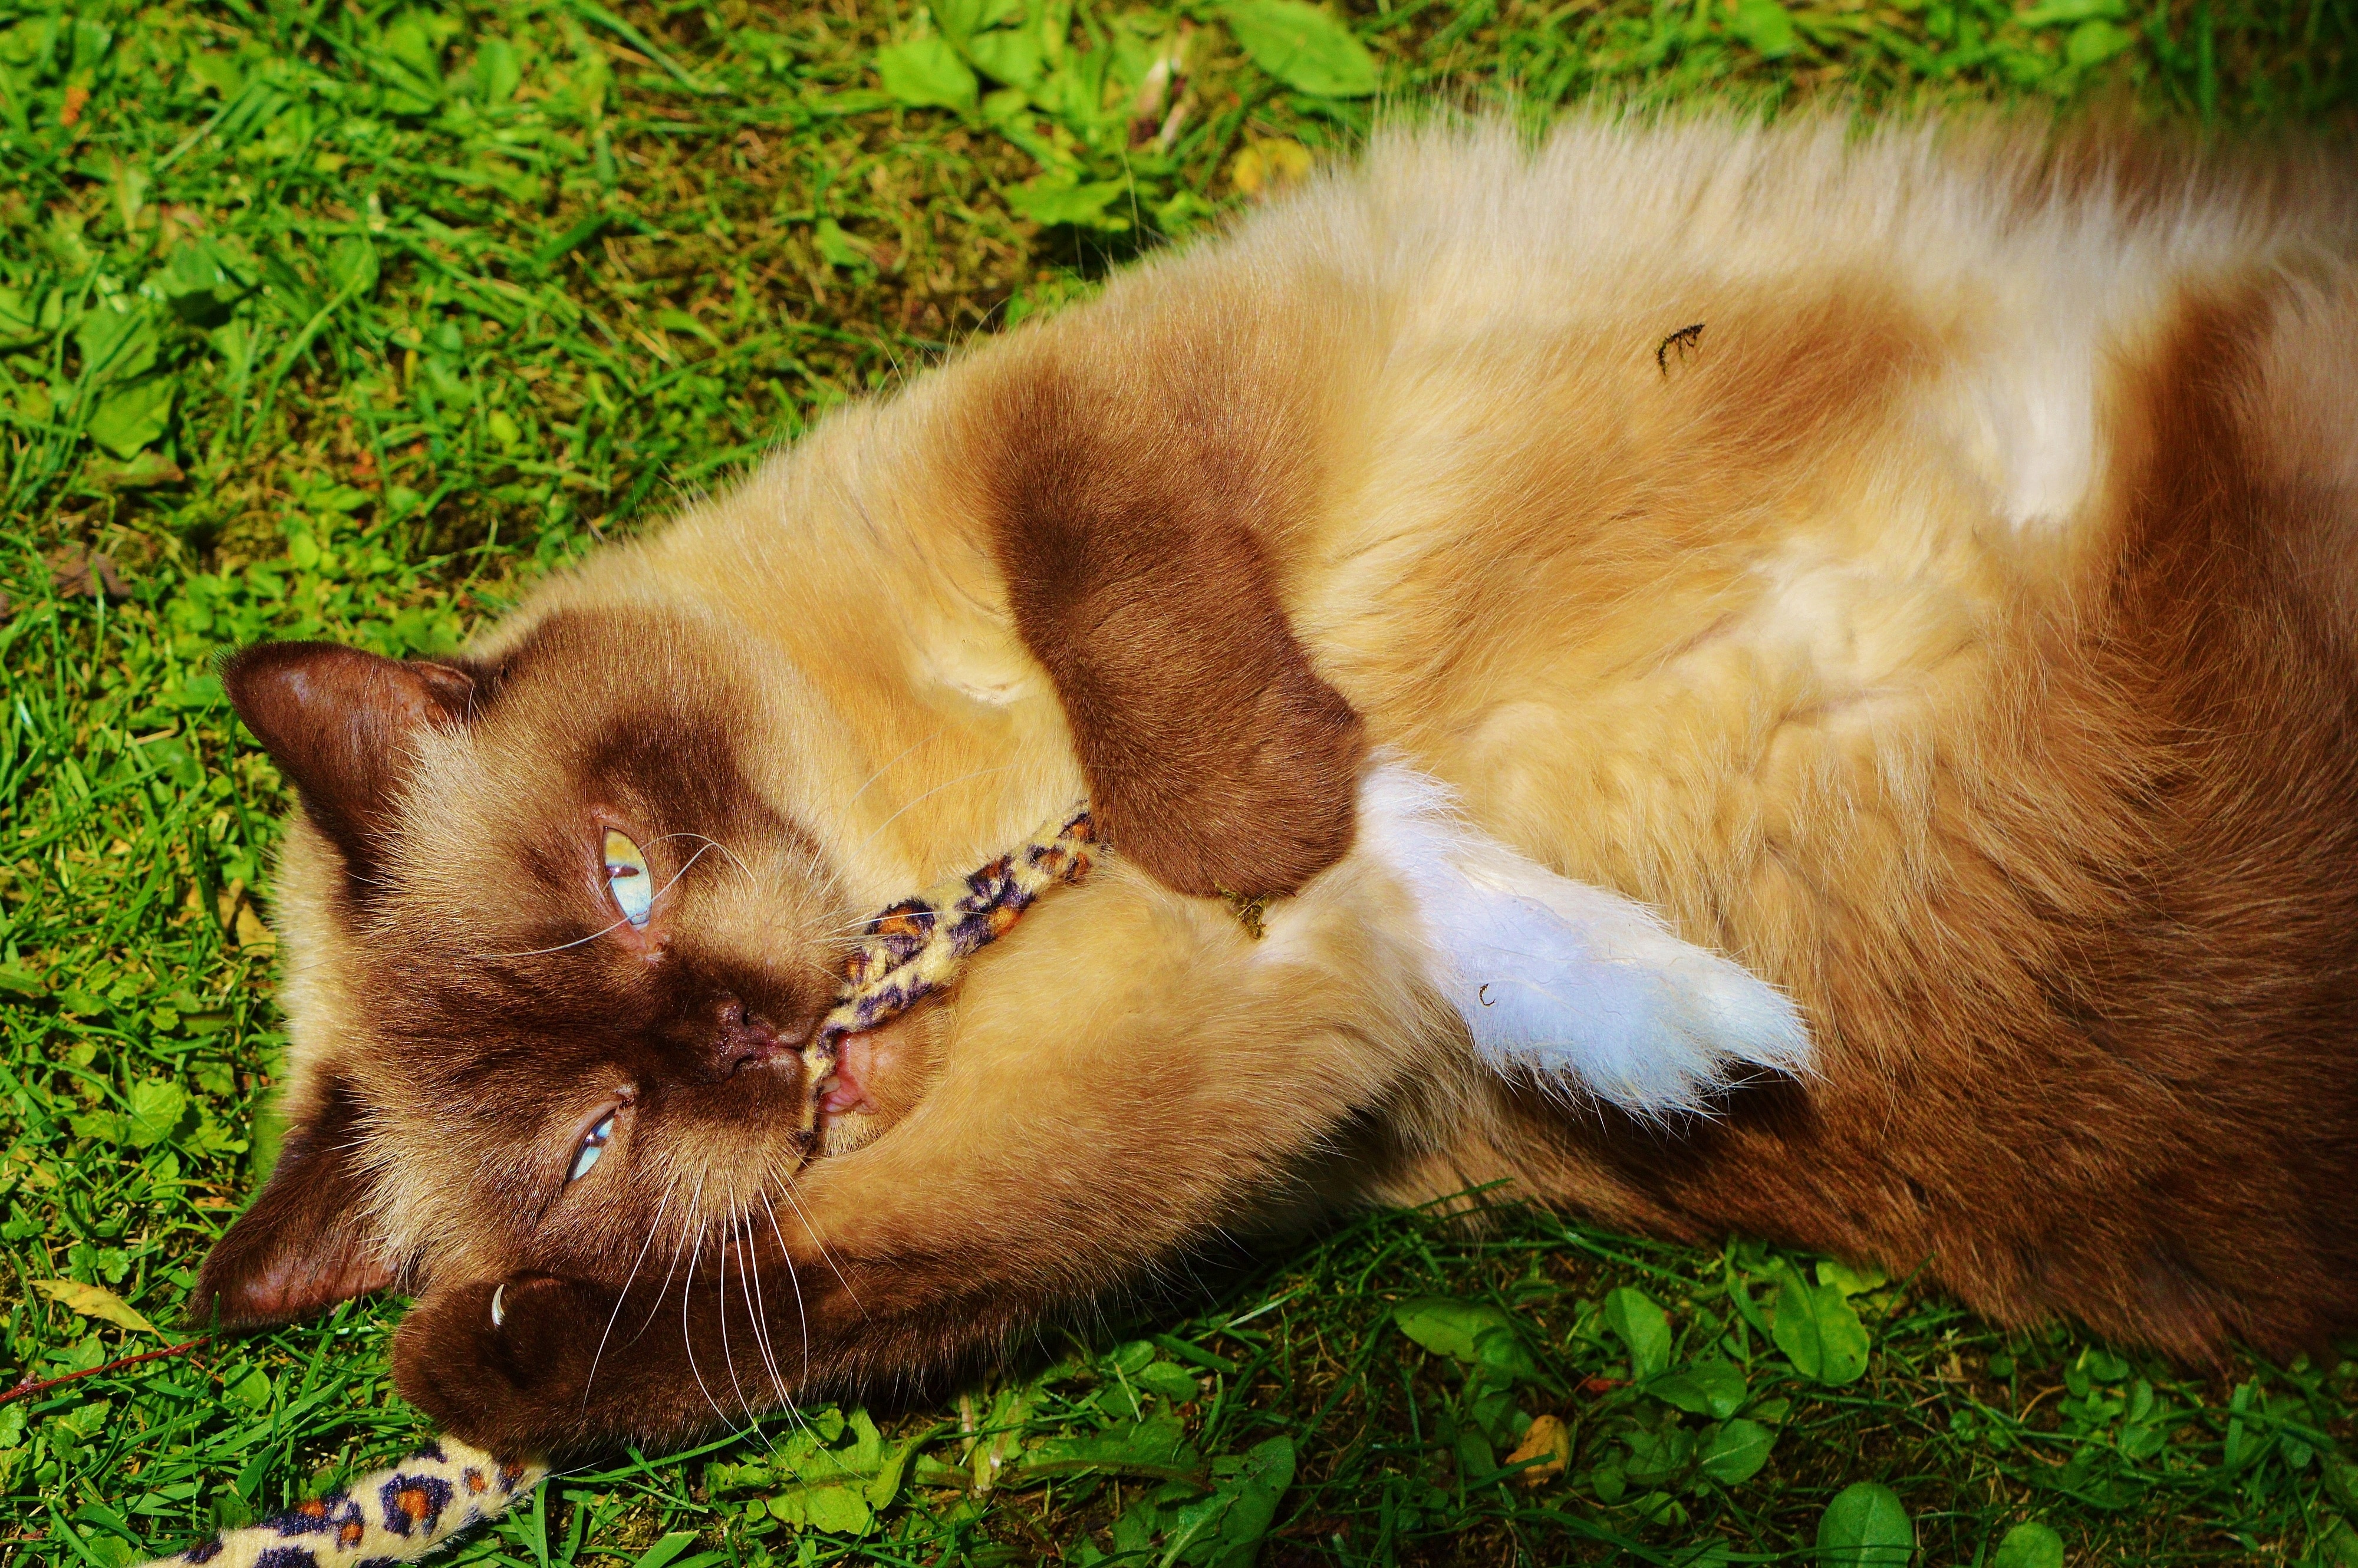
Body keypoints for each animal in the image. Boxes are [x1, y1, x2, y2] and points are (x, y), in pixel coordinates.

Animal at [189, 113, 2358, 1452]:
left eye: (622, 874)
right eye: (592, 1145)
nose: (751, 1038)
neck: (945, 836)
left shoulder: (1109, 412)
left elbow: (1145, 643)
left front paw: (1266, 813)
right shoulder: (1251, 1077)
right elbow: (732, 1320)